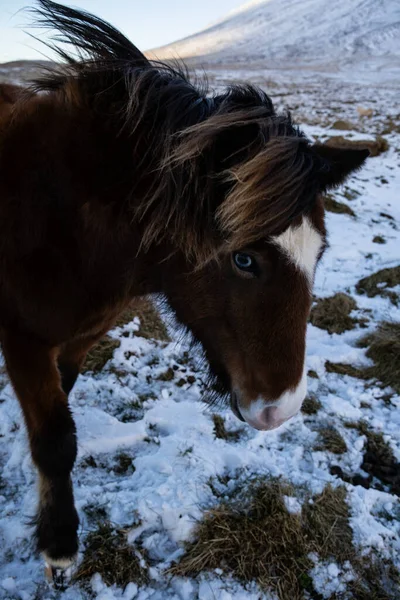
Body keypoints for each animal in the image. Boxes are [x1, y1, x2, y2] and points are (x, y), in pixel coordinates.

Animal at [0, 0, 368, 580]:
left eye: (321, 253)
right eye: (243, 258)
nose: (280, 411)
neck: (60, 216)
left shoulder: (84, 332)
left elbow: (62, 397)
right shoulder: (23, 337)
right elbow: (56, 439)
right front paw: (58, 544)